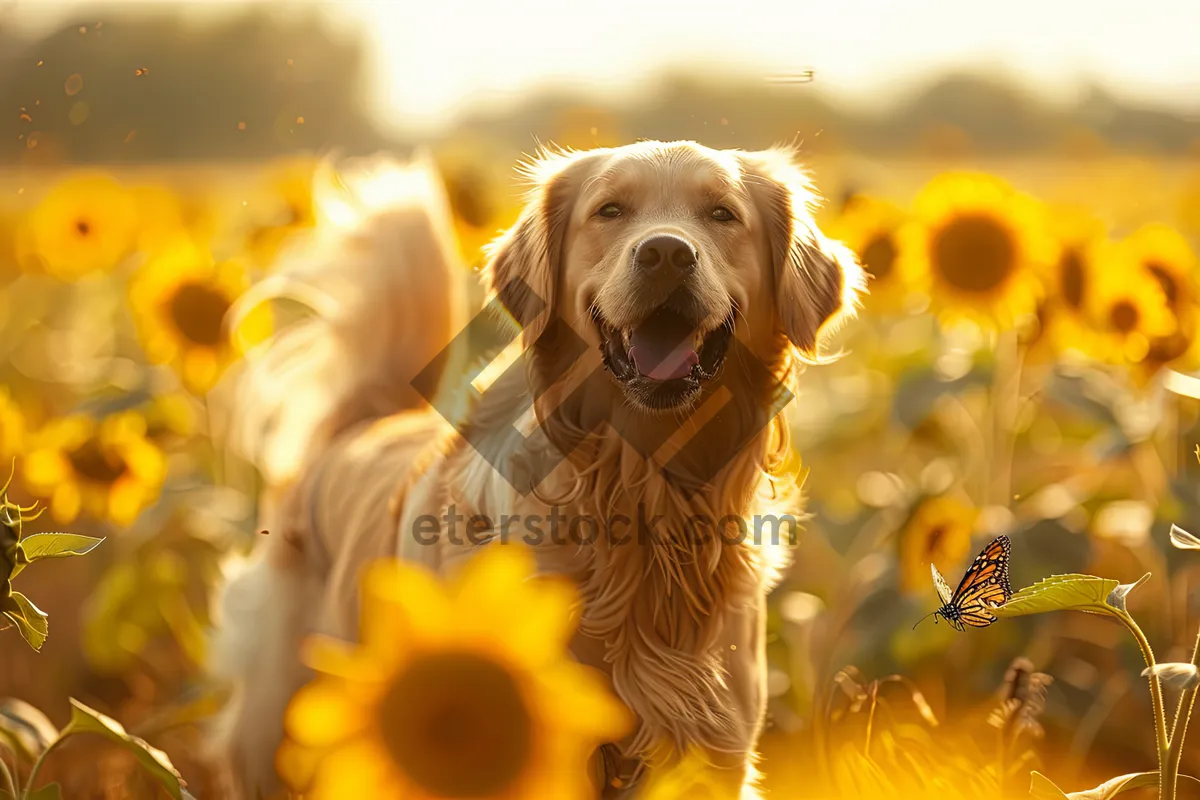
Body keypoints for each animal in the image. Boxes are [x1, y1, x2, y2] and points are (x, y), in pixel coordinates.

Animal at [206, 142, 864, 800]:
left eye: (723, 214)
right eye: (610, 210)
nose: (666, 253)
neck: (637, 498)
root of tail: (364, 422)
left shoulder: (712, 751)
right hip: (275, 726)